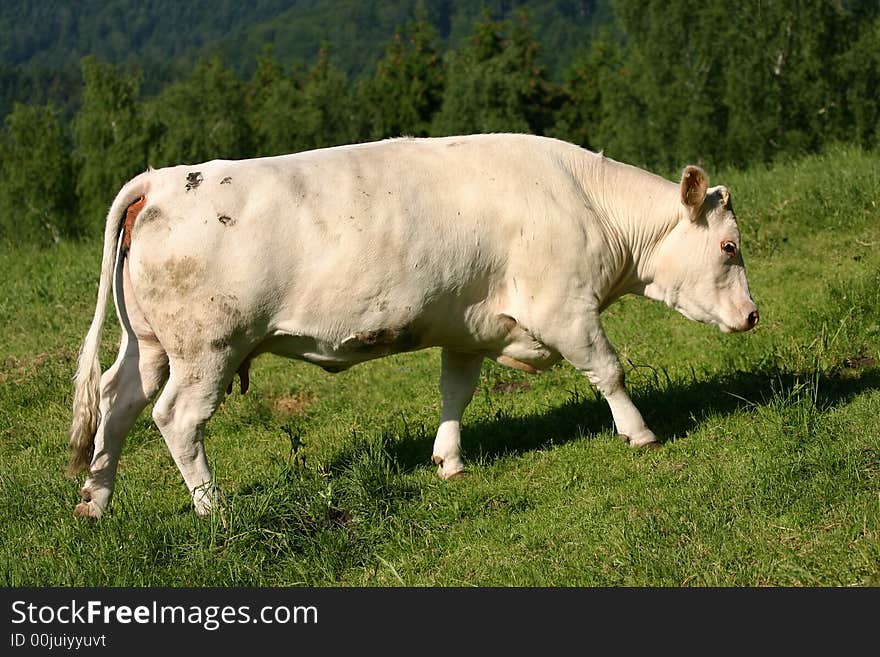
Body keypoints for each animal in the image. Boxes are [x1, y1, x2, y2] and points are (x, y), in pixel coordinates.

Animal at [69, 135, 756, 516]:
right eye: (729, 247)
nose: (753, 315)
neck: (586, 202)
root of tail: (159, 180)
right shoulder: (563, 308)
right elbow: (610, 370)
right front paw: (641, 434)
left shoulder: (472, 325)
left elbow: (456, 393)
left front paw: (448, 461)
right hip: (207, 348)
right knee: (177, 418)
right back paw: (212, 508)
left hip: (150, 343)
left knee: (116, 403)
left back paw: (95, 503)